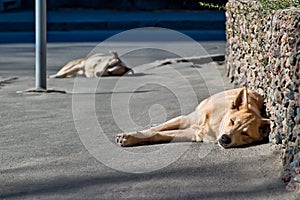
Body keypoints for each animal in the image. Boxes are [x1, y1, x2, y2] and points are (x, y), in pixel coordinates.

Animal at [116, 87, 270, 148]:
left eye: (245, 133)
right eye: (232, 121)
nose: (225, 139)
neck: (215, 126)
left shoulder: (192, 133)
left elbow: (158, 134)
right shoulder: (187, 119)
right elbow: (155, 130)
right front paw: (130, 136)